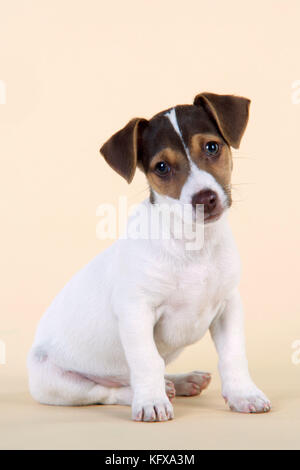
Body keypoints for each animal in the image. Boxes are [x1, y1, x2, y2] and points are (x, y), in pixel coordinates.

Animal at [27, 92, 272, 422]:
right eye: (162, 167)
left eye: (212, 147)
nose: (205, 199)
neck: (193, 244)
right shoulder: (136, 311)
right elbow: (147, 361)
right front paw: (151, 402)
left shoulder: (228, 306)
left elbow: (233, 355)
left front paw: (243, 394)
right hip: (55, 382)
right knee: (106, 391)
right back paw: (148, 392)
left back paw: (180, 382)